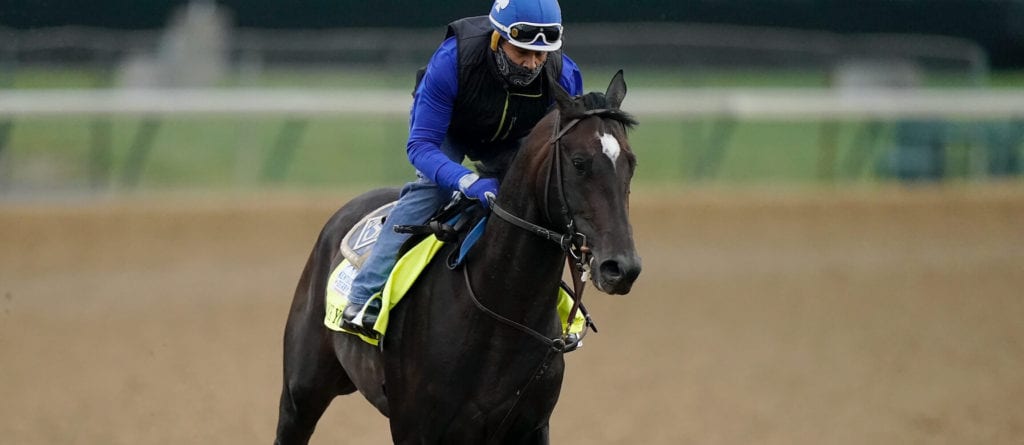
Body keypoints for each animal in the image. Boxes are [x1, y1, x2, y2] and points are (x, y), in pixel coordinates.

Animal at [275, 70, 641, 444]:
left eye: (631, 162)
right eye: (580, 163)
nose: (621, 268)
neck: (500, 313)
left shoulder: (531, 427)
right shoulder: (415, 427)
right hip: (301, 392)